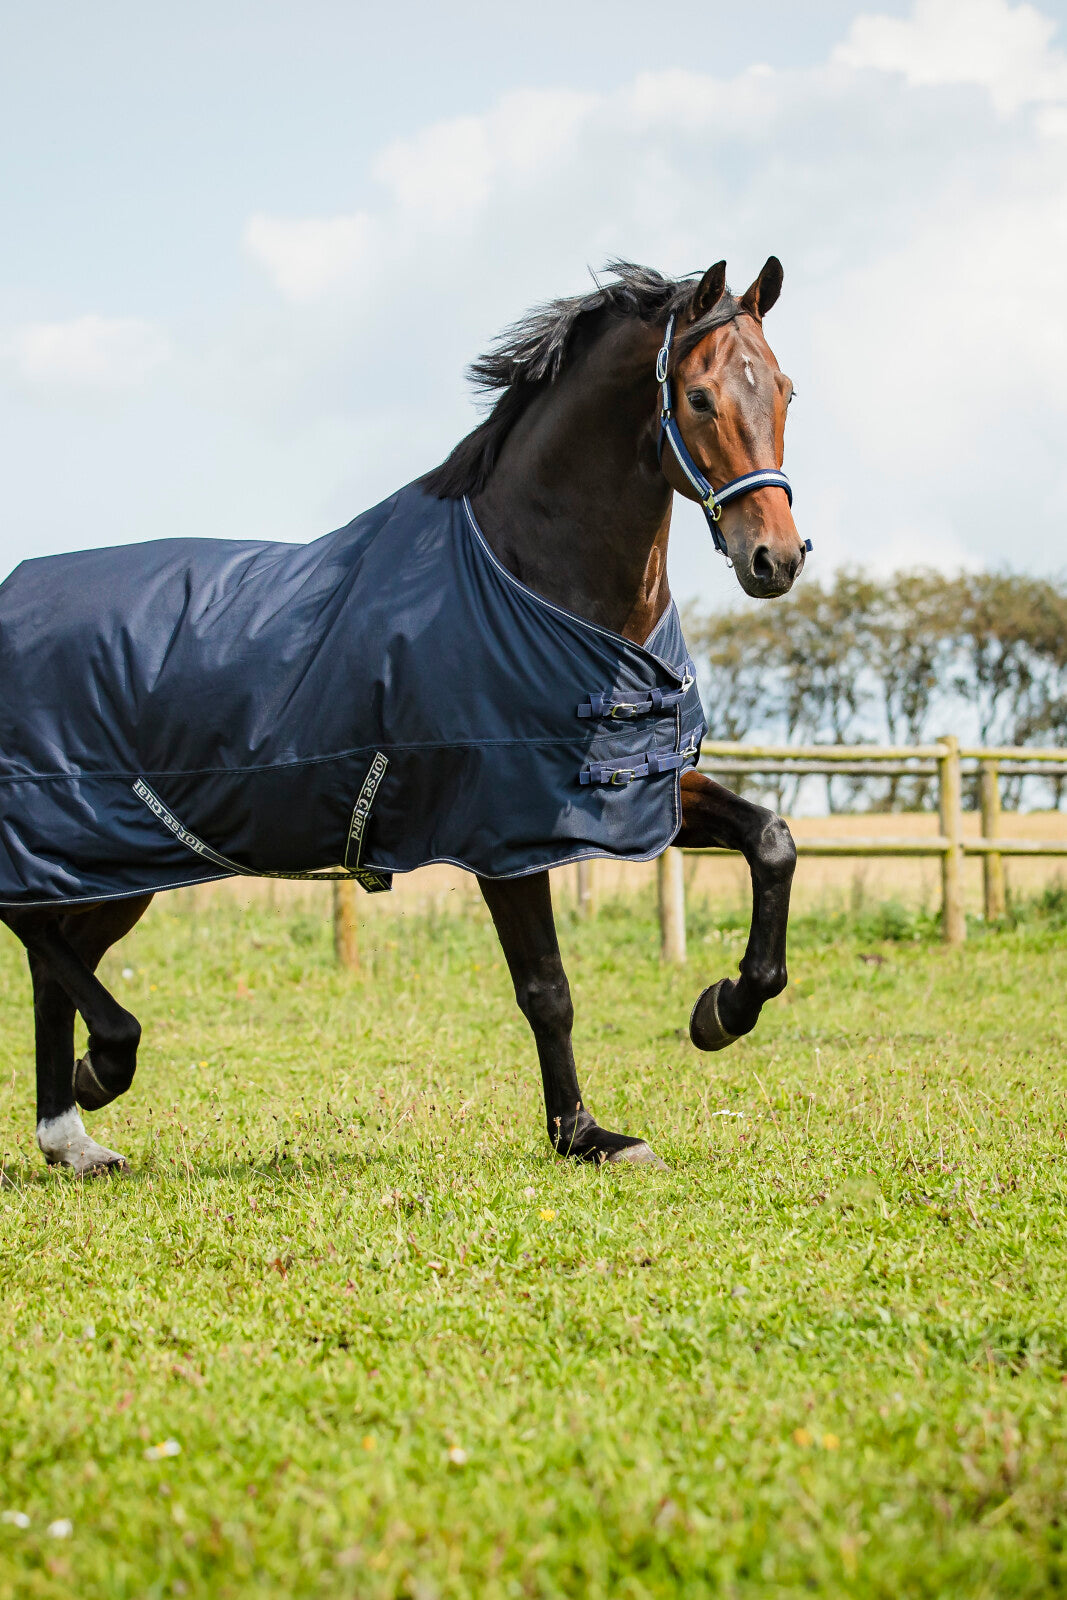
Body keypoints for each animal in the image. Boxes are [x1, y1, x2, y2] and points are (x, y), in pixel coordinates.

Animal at [0, 256, 804, 1176]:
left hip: (122, 857)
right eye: (699, 398)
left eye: (784, 389)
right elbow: (547, 989)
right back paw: (106, 1065)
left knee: (56, 953)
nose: (774, 558)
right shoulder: (506, 829)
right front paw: (584, 1135)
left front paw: (721, 1011)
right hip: (76, 834)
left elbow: (770, 840)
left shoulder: (636, 792)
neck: (530, 576)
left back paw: (72, 1134)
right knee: (33, 927)